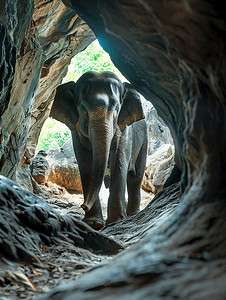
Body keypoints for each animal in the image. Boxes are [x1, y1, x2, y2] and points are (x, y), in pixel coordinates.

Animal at [50, 71, 147, 230]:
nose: (83, 206)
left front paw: (116, 221)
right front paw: (94, 223)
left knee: (135, 177)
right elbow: (86, 165)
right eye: (83, 109)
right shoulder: (76, 132)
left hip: (144, 141)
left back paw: (133, 214)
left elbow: (119, 164)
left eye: (116, 109)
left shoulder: (124, 130)